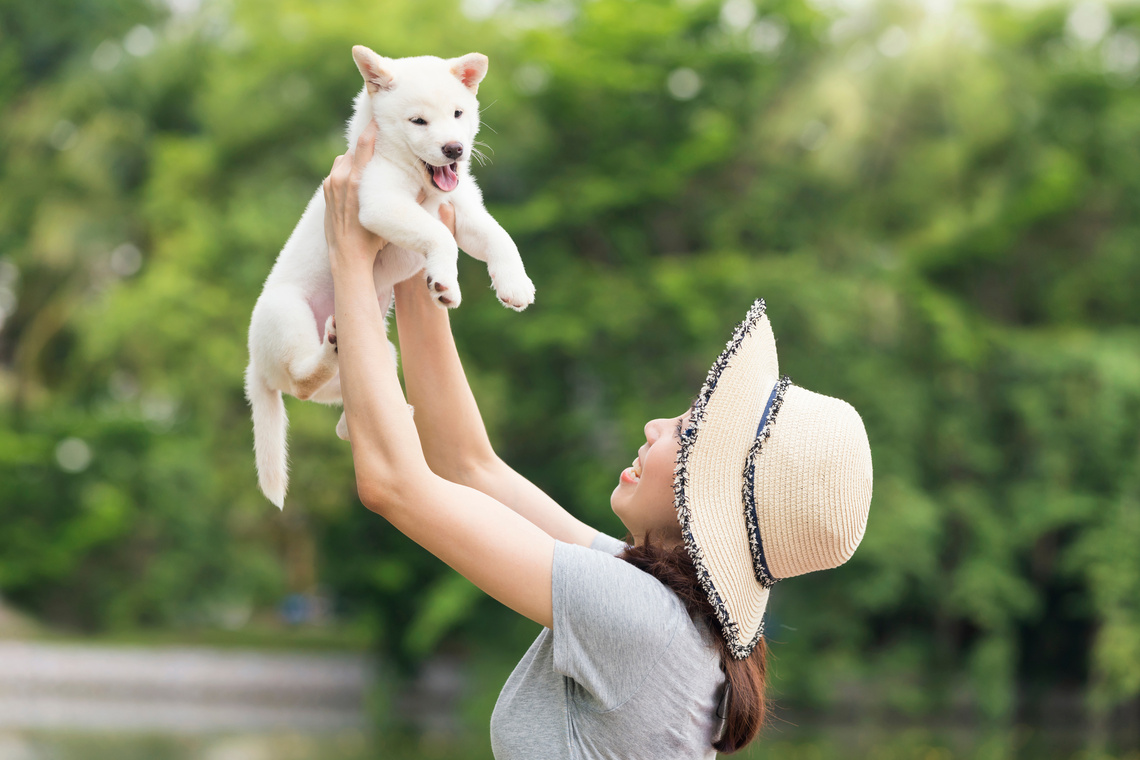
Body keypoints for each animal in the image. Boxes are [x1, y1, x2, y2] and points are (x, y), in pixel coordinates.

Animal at [245, 48, 533, 510]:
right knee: (301, 380)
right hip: (284, 314)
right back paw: (327, 348)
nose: (455, 148)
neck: (422, 185)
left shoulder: (464, 211)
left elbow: (499, 237)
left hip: (380, 352)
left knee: (346, 416)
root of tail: (256, 367)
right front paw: (444, 282)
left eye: (458, 113)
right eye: (418, 121)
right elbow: (440, 238)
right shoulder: (381, 204)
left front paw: (514, 285)